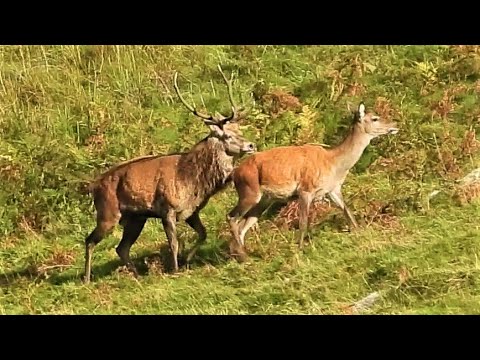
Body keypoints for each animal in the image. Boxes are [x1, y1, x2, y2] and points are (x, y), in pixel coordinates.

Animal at [83, 65, 255, 284]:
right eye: (228, 135)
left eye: (240, 130)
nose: (251, 145)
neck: (193, 182)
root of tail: (93, 186)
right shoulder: (168, 209)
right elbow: (173, 243)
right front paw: (175, 269)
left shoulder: (191, 211)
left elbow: (203, 234)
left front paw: (187, 260)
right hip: (108, 212)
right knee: (90, 240)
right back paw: (87, 279)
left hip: (136, 218)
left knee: (121, 248)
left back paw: (137, 275)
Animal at [227, 102, 400, 260]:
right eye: (375, 118)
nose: (395, 124)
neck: (334, 164)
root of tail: (235, 173)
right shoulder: (305, 189)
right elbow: (303, 223)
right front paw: (300, 251)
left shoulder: (333, 189)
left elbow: (347, 211)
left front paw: (359, 232)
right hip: (249, 189)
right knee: (231, 217)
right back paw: (242, 254)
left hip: (264, 199)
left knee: (243, 225)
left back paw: (241, 254)